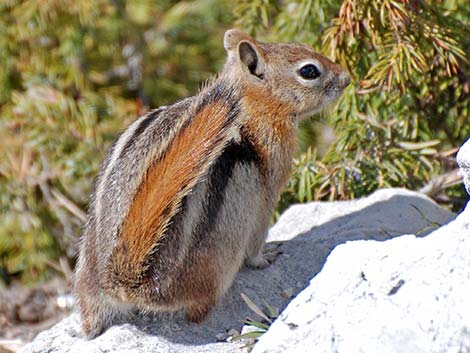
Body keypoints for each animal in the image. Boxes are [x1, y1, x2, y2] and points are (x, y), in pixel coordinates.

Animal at [73, 28, 350, 336]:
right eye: (309, 71)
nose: (347, 77)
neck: (252, 105)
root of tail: (126, 282)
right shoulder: (267, 196)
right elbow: (257, 242)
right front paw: (267, 256)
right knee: (198, 310)